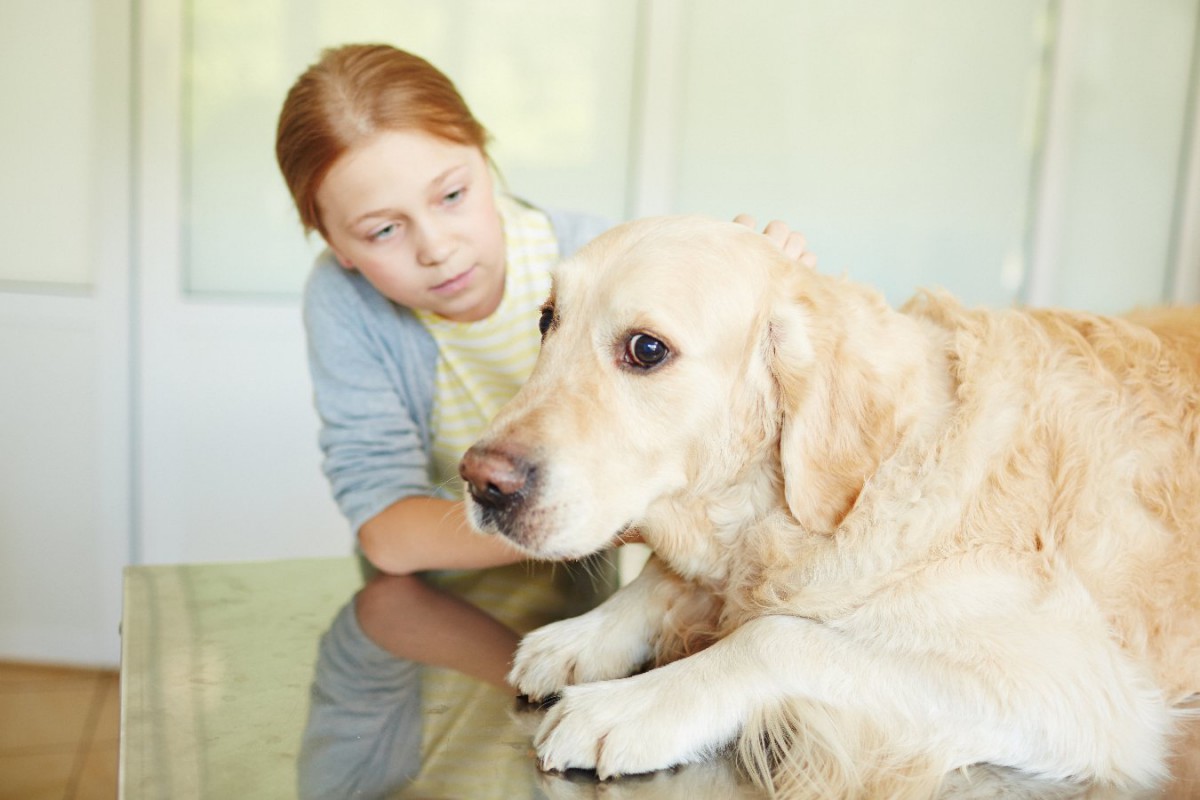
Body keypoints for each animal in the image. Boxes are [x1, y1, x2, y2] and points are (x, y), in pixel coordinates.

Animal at [453, 215, 1195, 796]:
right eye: (546, 320)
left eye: (646, 349)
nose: (480, 480)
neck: (870, 477)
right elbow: (671, 581)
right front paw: (584, 636)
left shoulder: (1078, 690)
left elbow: (776, 636)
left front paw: (628, 708)